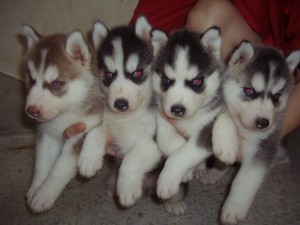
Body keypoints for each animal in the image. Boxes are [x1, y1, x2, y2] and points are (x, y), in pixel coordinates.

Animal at [218, 41, 300, 223]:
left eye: (276, 97)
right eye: (249, 91)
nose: (263, 122)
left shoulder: (266, 144)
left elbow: (246, 179)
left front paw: (234, 208)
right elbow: (225, 117)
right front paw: (226, 146)